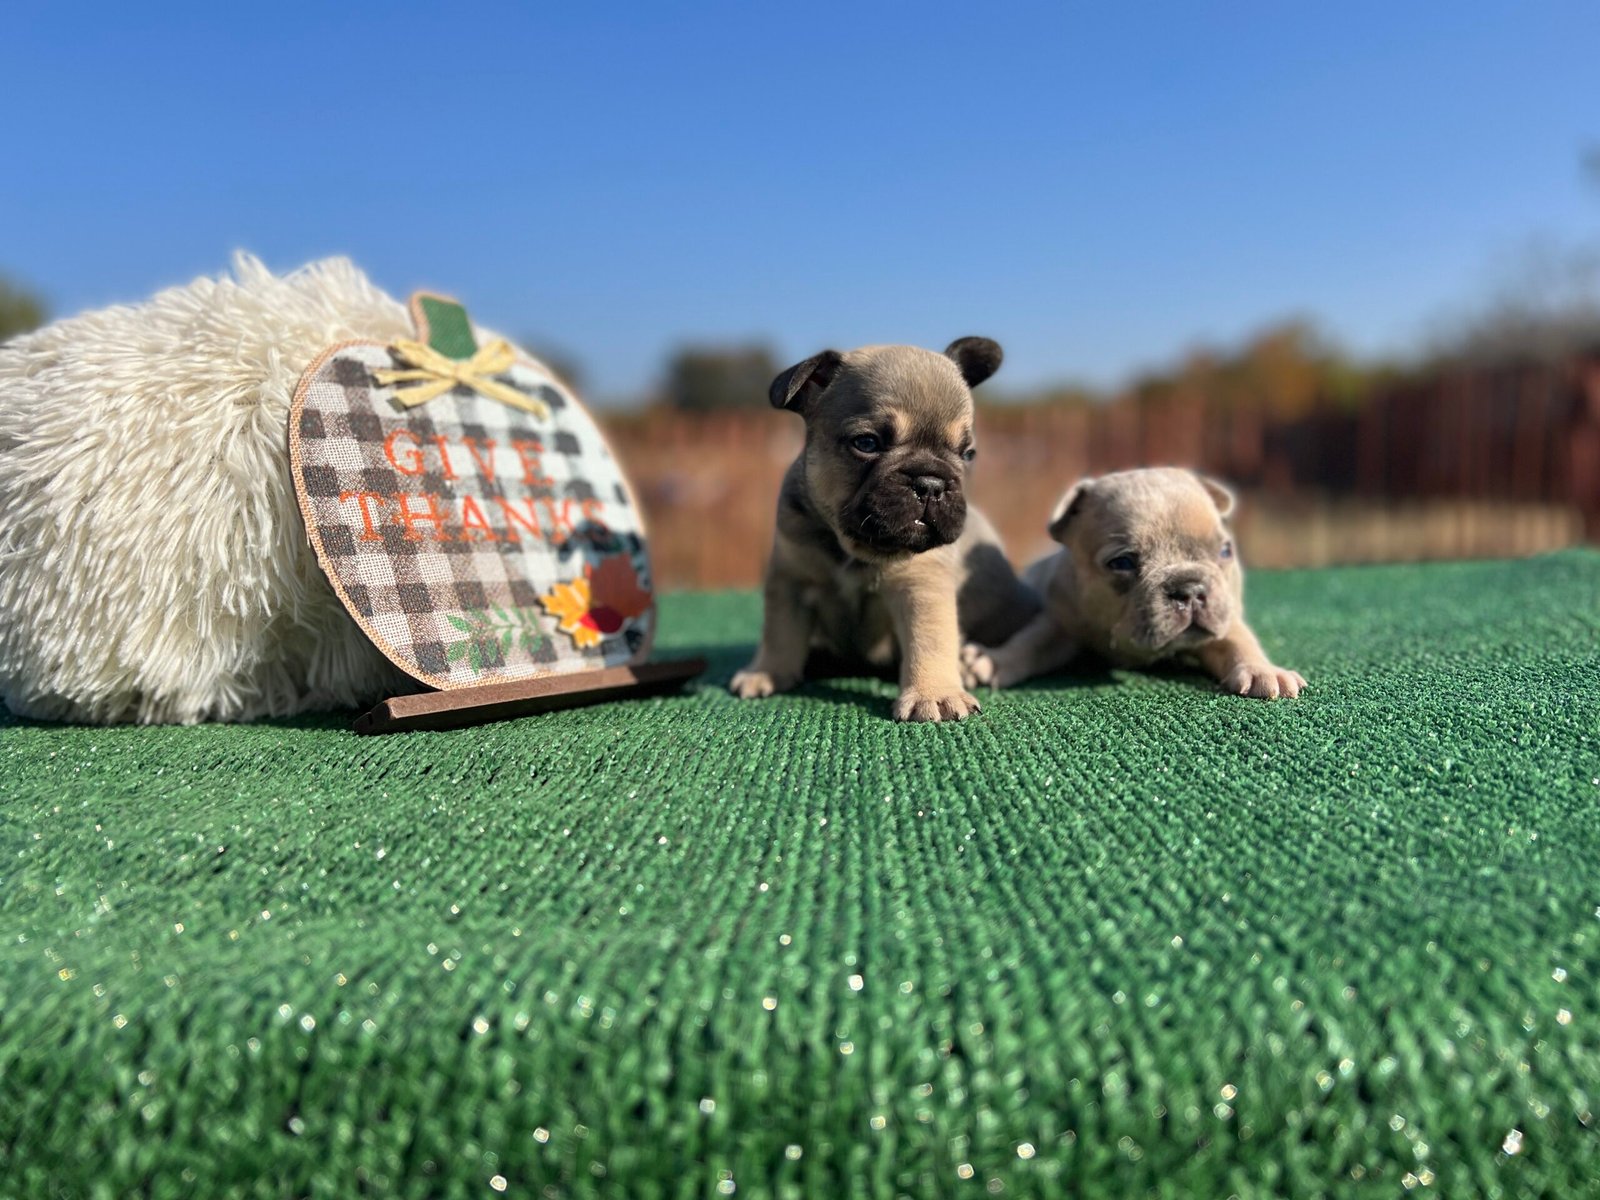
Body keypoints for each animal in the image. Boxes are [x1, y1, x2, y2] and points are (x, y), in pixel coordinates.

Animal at [729, 339, 1040, 721]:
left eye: (967, 454)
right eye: (866, 443)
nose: (931, 484)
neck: (854, 546)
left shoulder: (921, 587)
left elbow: (929, 640)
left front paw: (934, 693)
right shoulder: (791, 580)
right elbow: (779, 632)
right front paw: (767, 673)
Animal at [961, 467, 1305, 699]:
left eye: (1225, 551)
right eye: (1122, 563)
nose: (1191, 589)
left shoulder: (1224, 618)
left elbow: (1239, 641)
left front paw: (1262, 670)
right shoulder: (1060, 623)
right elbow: (1029, 643)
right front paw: (993, 661)